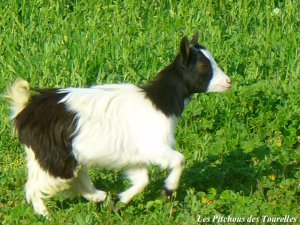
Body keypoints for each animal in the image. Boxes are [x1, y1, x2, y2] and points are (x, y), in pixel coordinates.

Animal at [5, 33, 231, 216]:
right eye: (203, 66)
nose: (229, 82)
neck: (160, 102)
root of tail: (24, 111)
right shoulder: (154, 146)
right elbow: (180, 160)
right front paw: (168, 189)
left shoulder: (135, 156)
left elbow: (142, 180)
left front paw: (118, 201)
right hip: (55, 157)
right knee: (36, 186)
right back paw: (46, 214)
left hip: (60, 156)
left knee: (73, 178)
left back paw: (99, 196)